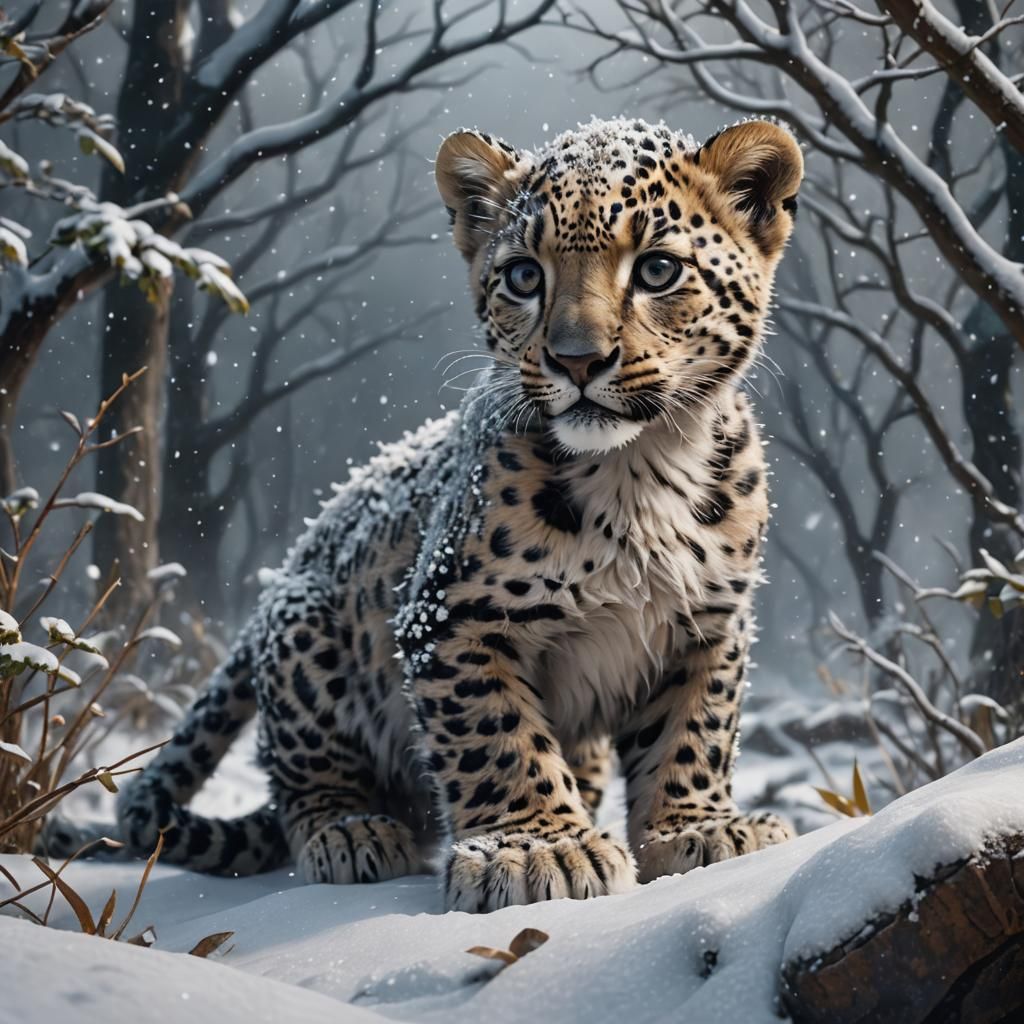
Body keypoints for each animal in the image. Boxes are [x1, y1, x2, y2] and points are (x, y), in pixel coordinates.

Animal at [67, 117, 804, 912]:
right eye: (524, 277)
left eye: (659, 270)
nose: (577, 361)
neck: (638, 473)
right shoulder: (449, 616)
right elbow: (497, 734)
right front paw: (538, 847)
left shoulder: (709, 624)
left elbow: (693, 732)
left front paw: (699, 828)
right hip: (305, 630)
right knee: (305, 783)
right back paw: (353, 833)